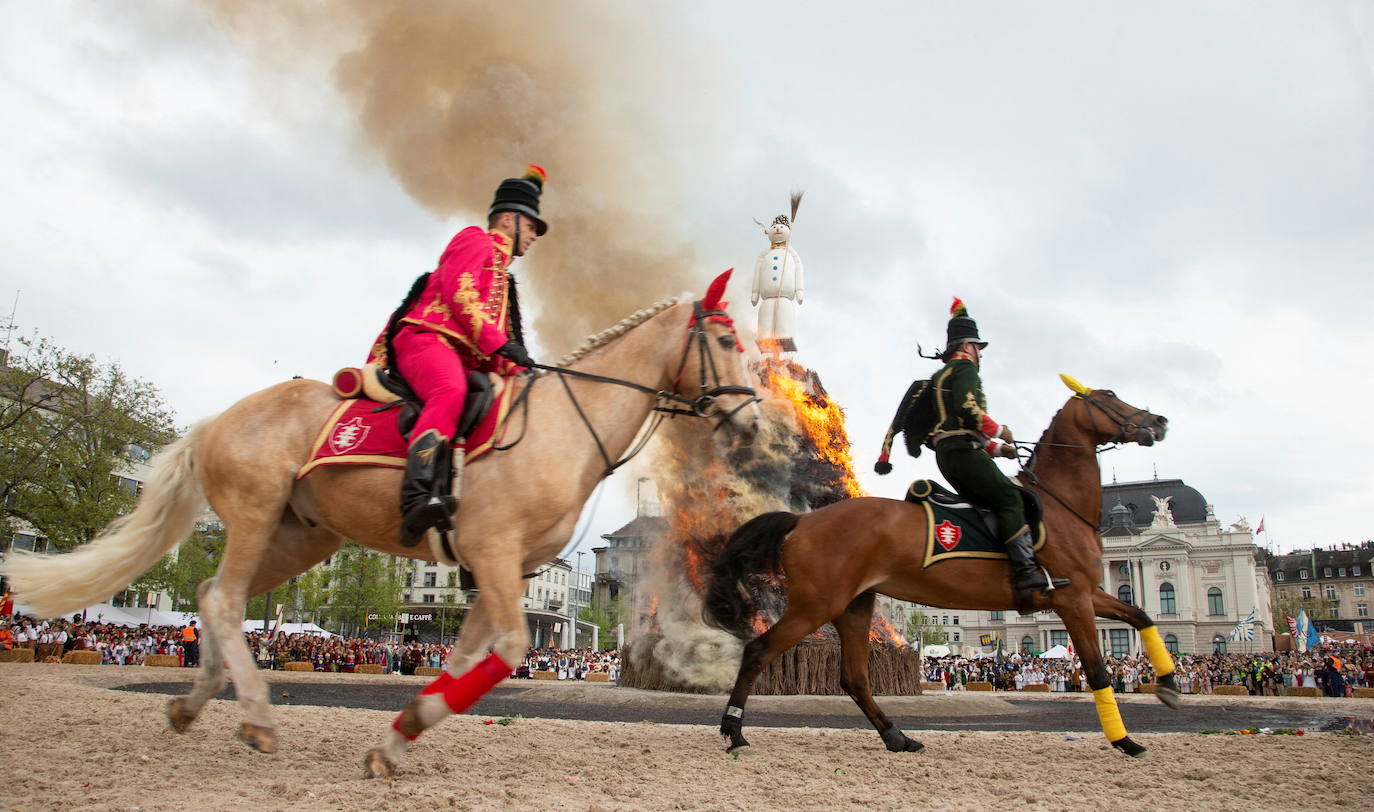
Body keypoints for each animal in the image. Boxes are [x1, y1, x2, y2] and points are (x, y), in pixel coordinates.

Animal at [0, 273, 758, 780]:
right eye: (724, 338)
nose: (751, 422)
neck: (561, 427)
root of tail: (217, 419)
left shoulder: (501, 571)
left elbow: (463, 661)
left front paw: (398, 737)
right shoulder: (493, 555)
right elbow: (510, 649)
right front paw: (404, 730)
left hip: (302, 535)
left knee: (219, 597)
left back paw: (195, 704)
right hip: (255, 514)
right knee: (221, 600)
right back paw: (254, 714)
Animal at [703, 379, 1176, 758]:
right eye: (1109, 397)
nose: (1159, 421)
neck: (1061, 506)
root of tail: (802, 520)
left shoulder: (1089, 594)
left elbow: (1142, 615)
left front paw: (1168, 685)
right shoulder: (1072, 600)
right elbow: (1097, 669)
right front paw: (1125, 741)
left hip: (854, 606)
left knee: (854, 678)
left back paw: (897, 737)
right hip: (816, 606)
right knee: (759, 651)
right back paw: (734, 731)